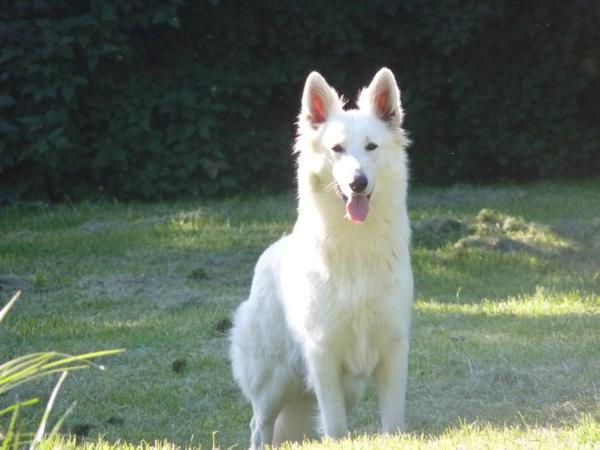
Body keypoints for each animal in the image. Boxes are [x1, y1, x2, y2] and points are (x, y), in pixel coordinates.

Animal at [230, 68, 412, 448]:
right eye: (337, 149)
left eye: (371, 147)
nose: (358, 183)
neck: (356, 246)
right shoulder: (323, 353)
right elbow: (336, 426)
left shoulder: (393, 349)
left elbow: (393, 422)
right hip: (274, 380)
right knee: (259, 425)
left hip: (347, 387)